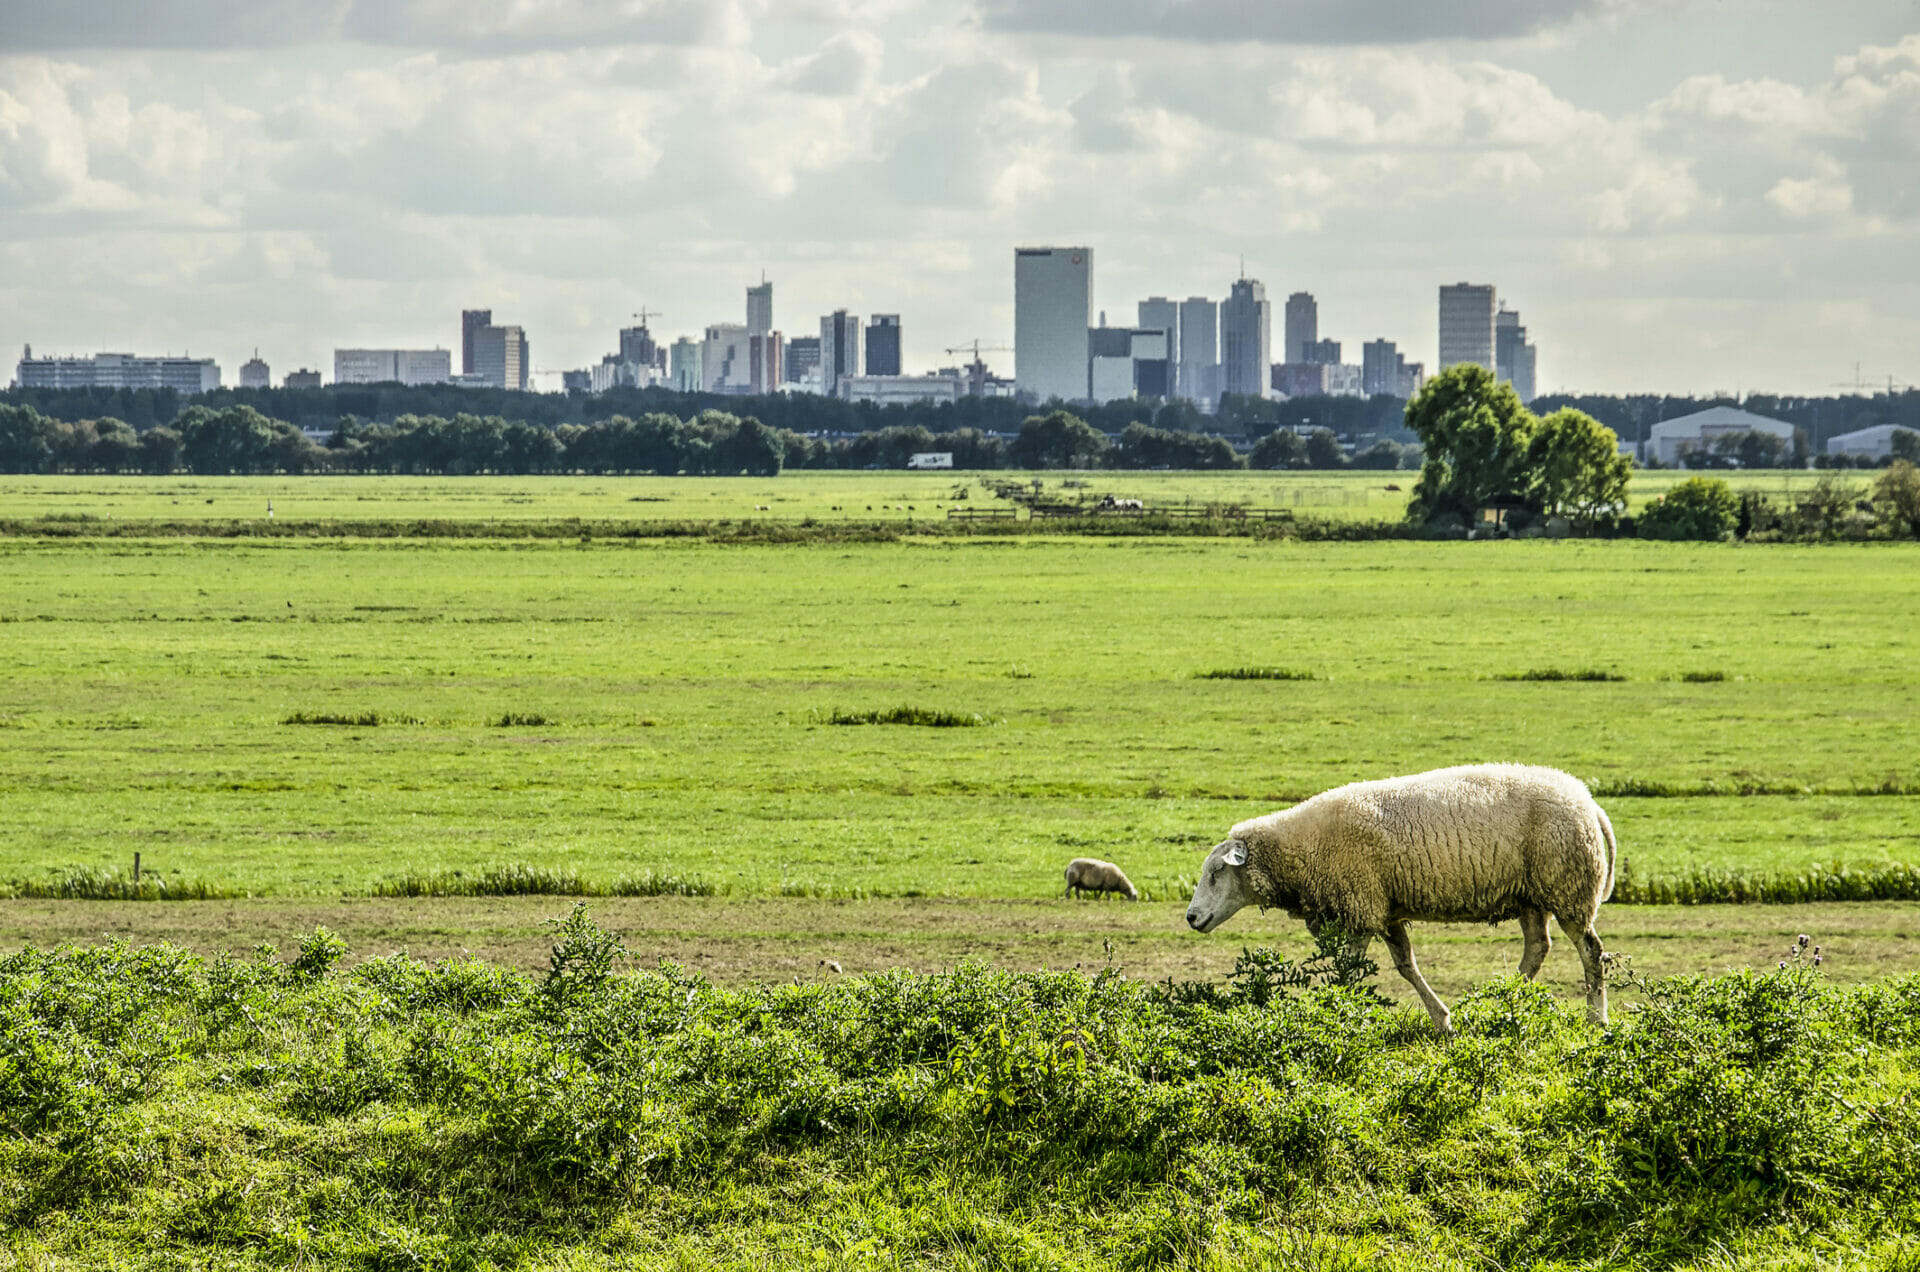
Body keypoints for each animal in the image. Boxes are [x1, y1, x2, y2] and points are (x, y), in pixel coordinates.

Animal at [1182, 768, 1620, 1037]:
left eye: (1216, 872)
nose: (1191, 917)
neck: (1303, 847)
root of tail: (1589, 802)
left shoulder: (1360, 905)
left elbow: (1349, 971)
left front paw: (1335, 1014)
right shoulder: (1384, 908)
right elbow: (1406, 965)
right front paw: (1443, 1021)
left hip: (1569, 887)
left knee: (1590, 952)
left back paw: (1595, 1019)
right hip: (1532, 896)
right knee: (1537, 949)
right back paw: (1499, 1004)